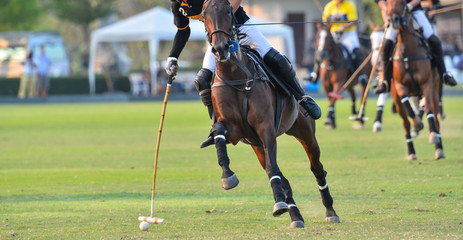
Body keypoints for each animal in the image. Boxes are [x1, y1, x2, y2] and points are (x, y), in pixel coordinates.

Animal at [202, 0, 340, 227]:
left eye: (229, 11)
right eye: (204, 14)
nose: (221, 49)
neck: (235, 76)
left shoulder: (265, 127)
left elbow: (273, 169)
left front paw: (279, 204)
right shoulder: (236, 132)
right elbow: (220, 131)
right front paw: (227, 176)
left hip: (304, 132)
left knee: (316, 168)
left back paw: (329, 211)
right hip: (256, 145)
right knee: (282, 176)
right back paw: (295, 215)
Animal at [388, 0, 446, 160]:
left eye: (402, 2)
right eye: (387, 3)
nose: (393, 19)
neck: (407, 53)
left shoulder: (427, 84)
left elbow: (428, 110)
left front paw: (433, 136)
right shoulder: (400, 87)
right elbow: (409, 110)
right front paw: (417, 124)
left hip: (434, 89)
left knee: (436, 116)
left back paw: (439, 147)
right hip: (397, 97)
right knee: (405, 123)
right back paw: (411, 151)